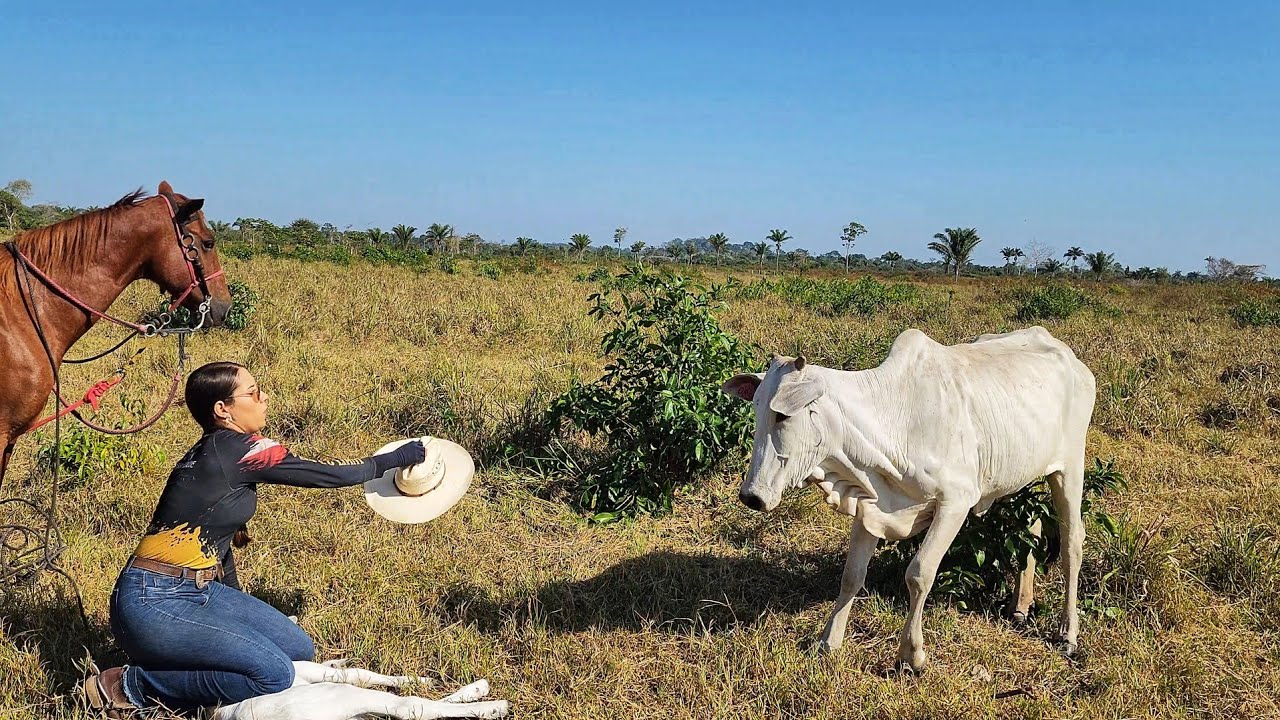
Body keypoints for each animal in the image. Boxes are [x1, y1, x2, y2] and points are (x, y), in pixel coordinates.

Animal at [721, 326, 1096, 672]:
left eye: (783, 415)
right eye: (756, 409)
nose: (751, 496)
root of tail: (1073, 359)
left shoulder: (956, 501)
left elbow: (919, 573)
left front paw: (911, 655)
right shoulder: (871, 503)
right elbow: (852, 575)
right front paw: (829, 642)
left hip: (1069, 466)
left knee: (1071, 542)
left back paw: (1068, 633)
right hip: (1024, 471)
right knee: (1030, 527)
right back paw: (1021, 605)